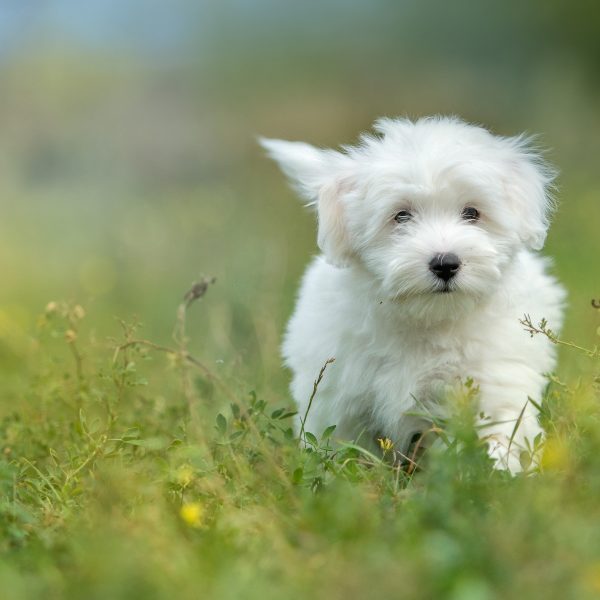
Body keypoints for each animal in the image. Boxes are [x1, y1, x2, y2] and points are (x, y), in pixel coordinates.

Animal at [260, 116, 564, 474]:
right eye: (401, 216)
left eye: (472, 213)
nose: (445, 263)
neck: (428, 320)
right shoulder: (340, 397)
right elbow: (342, 446)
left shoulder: (496, 380)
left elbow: (501, 431)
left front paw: (496, 472)